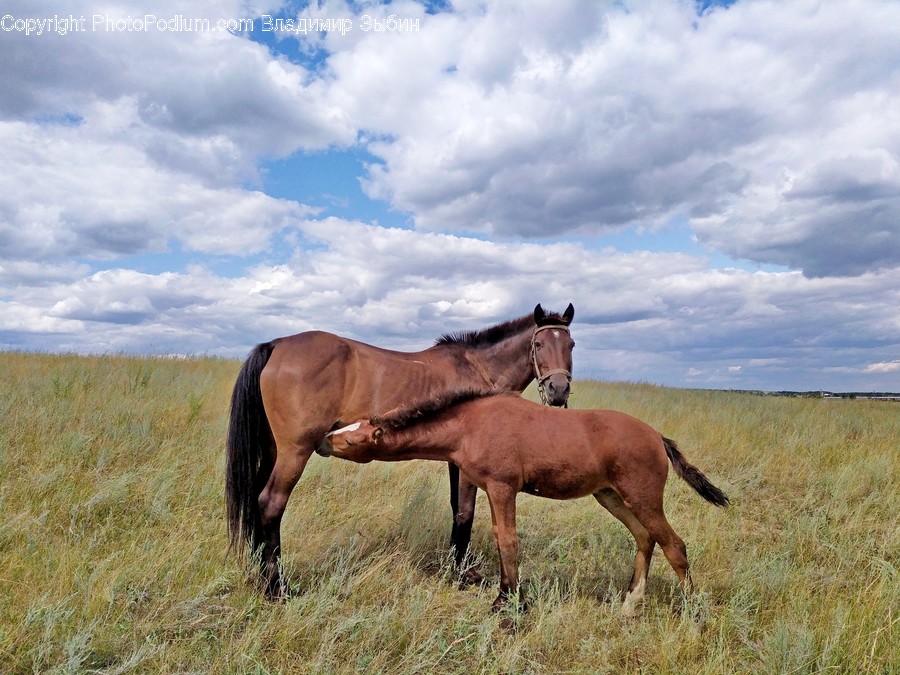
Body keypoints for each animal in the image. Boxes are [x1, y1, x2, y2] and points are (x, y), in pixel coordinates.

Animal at [226, 303, 575, 598]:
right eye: (539, 344)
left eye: (570, 345)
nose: (558, 390)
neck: (477, 367)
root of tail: (277, 345)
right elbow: (465, 512)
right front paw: (463, 575)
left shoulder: (454, 458)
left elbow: (456, 509)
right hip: (295, 452)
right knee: (271, 503)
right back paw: (277, 588)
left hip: (274, 450)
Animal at [317, 388, 730, 619]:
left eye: (351, 440)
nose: (321, 439)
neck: (471, 424)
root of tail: (658, 437)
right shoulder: (483, 486)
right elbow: (495, 534)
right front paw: (504, 595)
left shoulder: (503, 487)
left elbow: (508, 540)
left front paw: (509, 604)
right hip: (610, 495)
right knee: (645, 539)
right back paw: (629, 606)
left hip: (643, 497)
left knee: (674, 545)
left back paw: (695, 616)